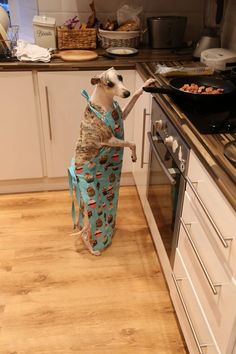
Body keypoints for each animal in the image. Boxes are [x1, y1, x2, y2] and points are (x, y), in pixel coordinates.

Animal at [69, 67, 156, 254]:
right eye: (109, 84)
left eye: (121, 77)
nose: (126, 92)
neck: (105, 102)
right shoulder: (109, 139)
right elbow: (132, 143)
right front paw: (134, 156)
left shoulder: (123, 113)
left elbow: (136, 96)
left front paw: (146, 83)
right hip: (90, 200)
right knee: (87, 229)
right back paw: (94, 249)